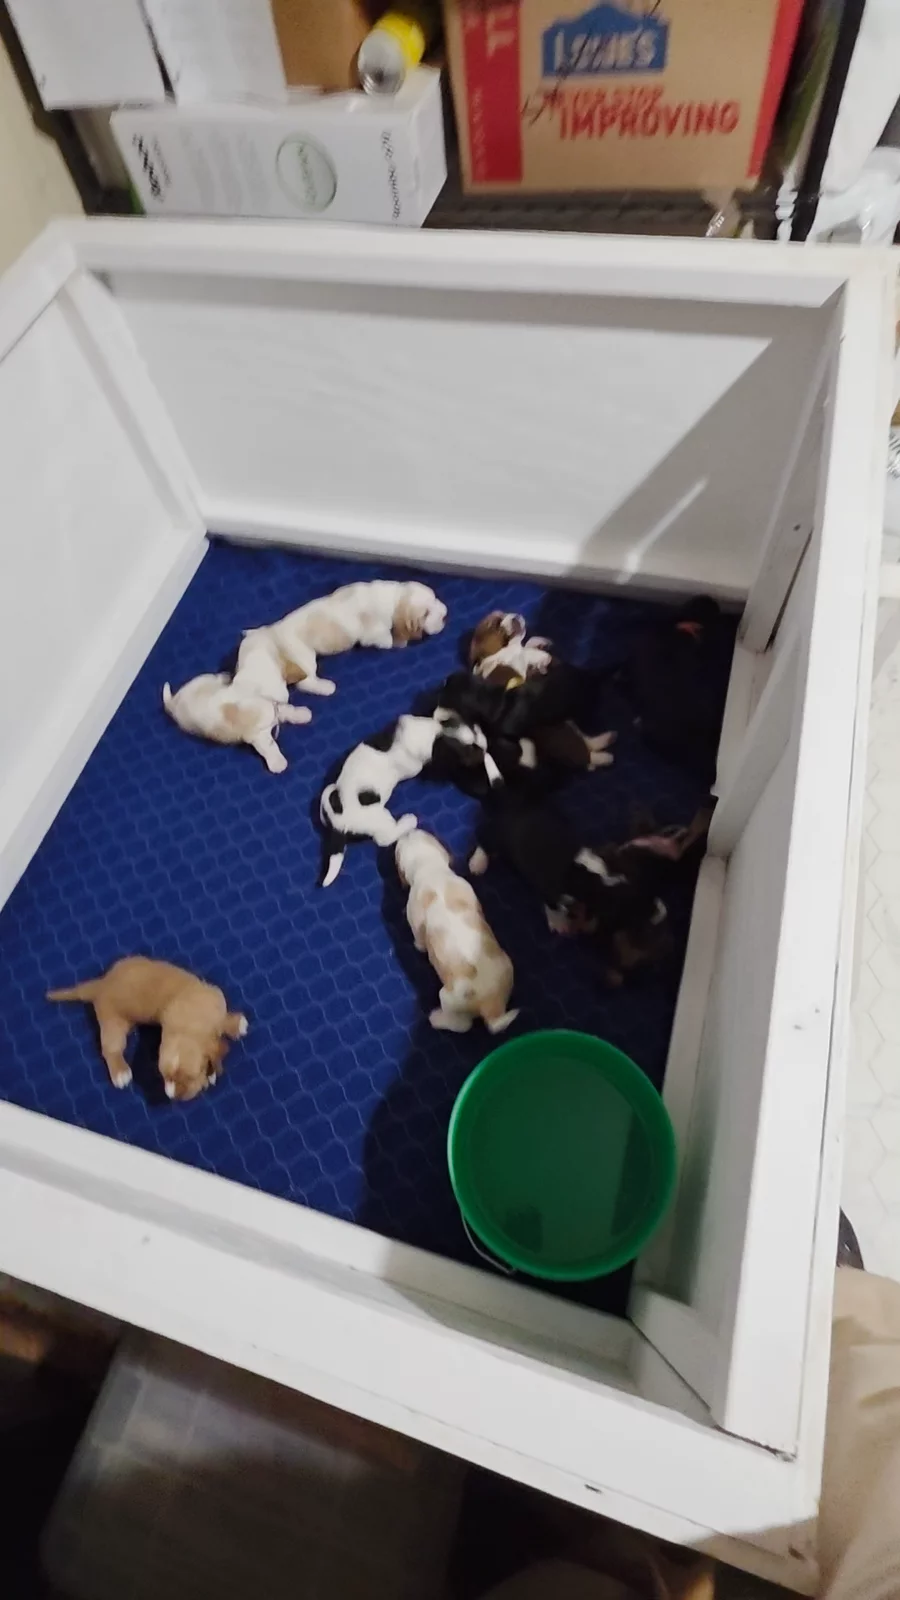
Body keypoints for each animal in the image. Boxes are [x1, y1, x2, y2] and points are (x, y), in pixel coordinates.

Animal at [47, 956, 248, 1100]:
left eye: (189, 1077)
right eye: (164, 1076)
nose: (170, 1096)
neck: (191, 1020)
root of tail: (101, 984)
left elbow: (223, 1024)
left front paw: (236, 1024)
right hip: (113, 1022)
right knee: (110, 1049)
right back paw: (120, 1073)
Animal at [162, 627, 313, 774]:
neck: (256, 686)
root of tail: (172, 702)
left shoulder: (274, 706)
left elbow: (287, 710)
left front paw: (302, 714)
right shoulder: (258, 735)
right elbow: (270, 746)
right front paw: (278, 763)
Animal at [267, 580, 447, 696]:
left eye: (435, 598)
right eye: (426, 613)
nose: (445, 614)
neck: (394, 598)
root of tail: (274, 633)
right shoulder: (375, 634)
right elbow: (387, 639)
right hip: (304, 656)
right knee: (304, 683)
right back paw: (327, 687)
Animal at [319, 710, 502, 886]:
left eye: (476, 732)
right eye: (470, 750)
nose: (485, 746)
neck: (432, 733)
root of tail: (337, 826)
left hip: (328, 792)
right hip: (379, 818)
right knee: (384, 838)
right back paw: (408, 821)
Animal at [395, 829, 517, 1033]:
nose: (408, 831)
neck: (429, 867)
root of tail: (491, 1006)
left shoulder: (415, 920)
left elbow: (419, 941)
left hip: (447, 998)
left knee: (463, 1025)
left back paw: (437, 1018)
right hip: (507, 966)